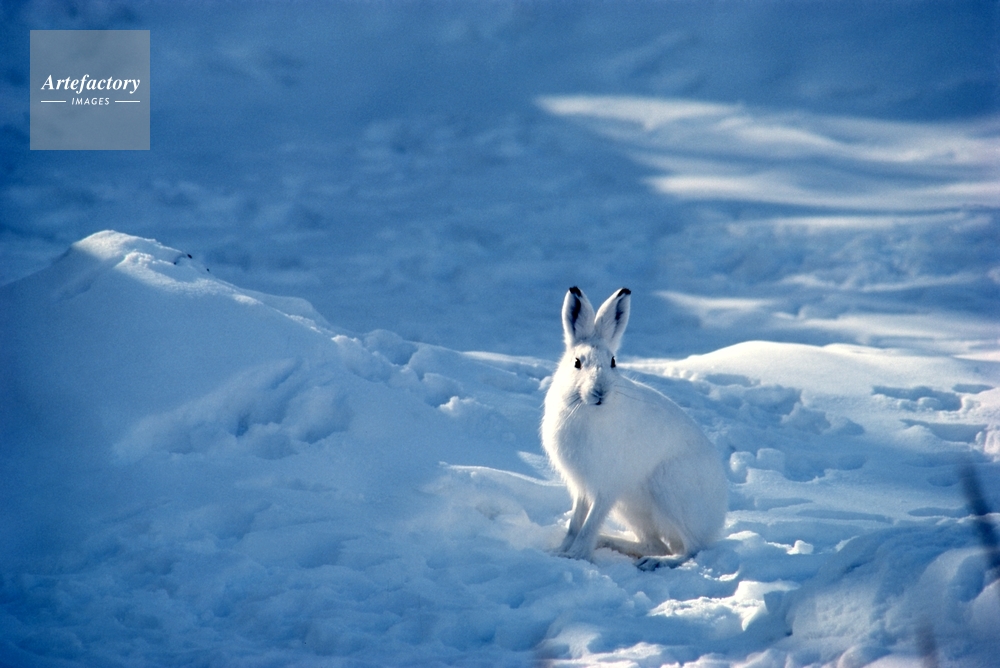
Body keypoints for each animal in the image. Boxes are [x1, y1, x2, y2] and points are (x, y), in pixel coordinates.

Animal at [541, 287, 727, 566]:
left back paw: (656, 562)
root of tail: (715, 523)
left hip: (669, 491)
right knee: (656, 544)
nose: (600, 392)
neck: (589, 410)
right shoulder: (582, 487)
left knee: (691, 548)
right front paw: (560, 551)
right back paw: (609, 542)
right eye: (577, 363)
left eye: (613, 362)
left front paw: (576, 555)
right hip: (630, 508)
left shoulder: (607, 486)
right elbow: (575, 523)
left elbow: (589, 524)